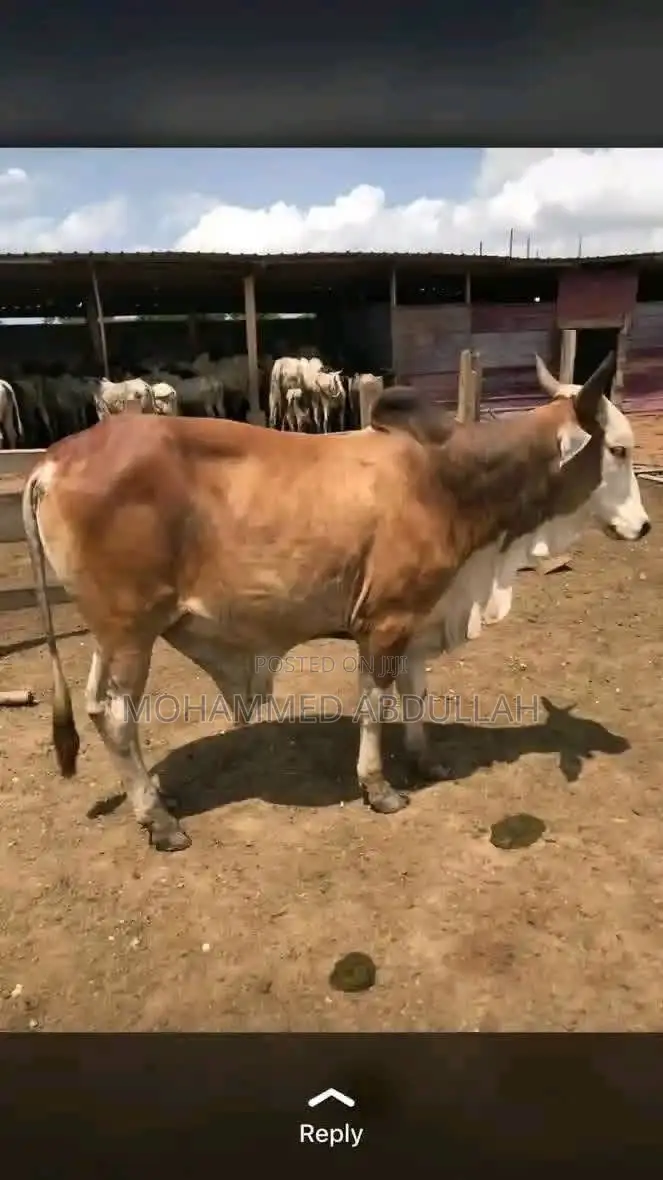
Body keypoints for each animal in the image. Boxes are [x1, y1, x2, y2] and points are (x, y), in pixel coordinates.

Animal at [21, 352, 649, 854]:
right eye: (618, 450)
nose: (643, 526)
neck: (451, 480)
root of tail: (53, 459)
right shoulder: (383, 622)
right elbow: (374, 705)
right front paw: (378, 786)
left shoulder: (418, 614)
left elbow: (415, 693)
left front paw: (425, 758)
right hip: (132, 631)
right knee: (118, 714)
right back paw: (159, 820)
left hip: (112, 632)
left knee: (97, 707)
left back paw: (154, 794)